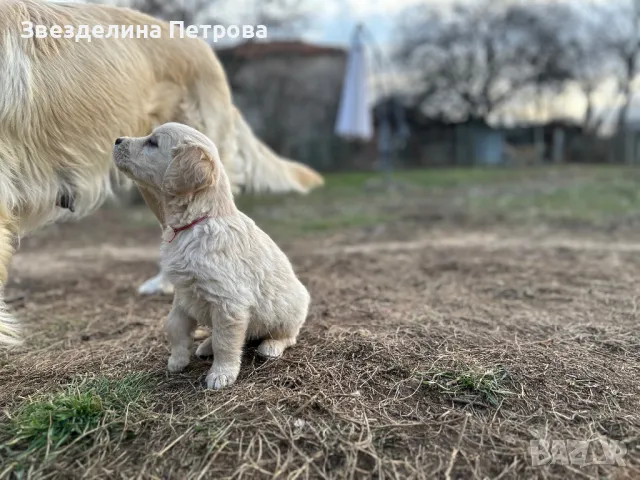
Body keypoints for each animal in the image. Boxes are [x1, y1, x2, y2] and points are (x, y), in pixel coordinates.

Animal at [113, 122, 312, 388]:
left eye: (153, 143)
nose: (117, 140)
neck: (198, 222)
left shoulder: (229, 303)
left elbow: (225, 342)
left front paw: (221, 374)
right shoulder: (183, 294)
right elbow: (174, 326)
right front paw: (177, 360)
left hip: (289, 313)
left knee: (286, 336)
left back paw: (270, 346)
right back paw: (205, 346)